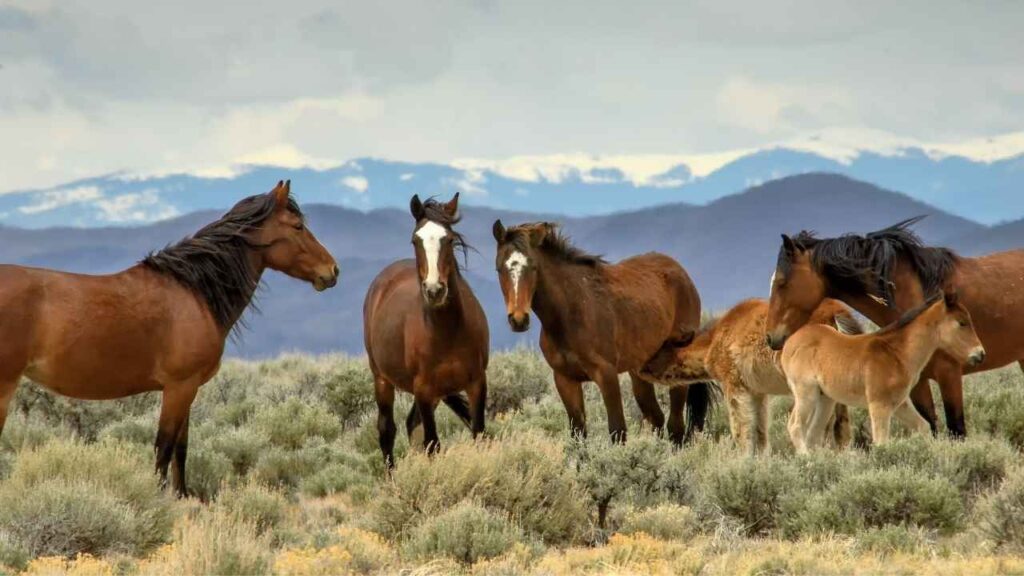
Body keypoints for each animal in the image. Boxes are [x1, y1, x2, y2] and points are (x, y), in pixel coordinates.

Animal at [0, 181, 339, 497]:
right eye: (297, 226)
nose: (332, 271)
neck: (194, 293)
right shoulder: (179, 387)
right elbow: (164, 447)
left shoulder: (188, 390)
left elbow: (180, 449)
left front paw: (182, 495)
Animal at [364, 193, 489, 469]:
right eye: (415, 240)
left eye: (449, 239)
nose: (434, 290)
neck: (448, 331)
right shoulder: (423, 388)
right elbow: (433, 443)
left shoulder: (477, 382)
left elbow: (479, 435)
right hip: (382, 380)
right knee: (387, 431)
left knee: (411, 424)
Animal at [491, 219, 713, 444]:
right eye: (499, 268)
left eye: (533, 267)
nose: (518, 320)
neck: (570, 313)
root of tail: (681, 273)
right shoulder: (565, 379)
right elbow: (578, 433)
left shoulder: (606, 375)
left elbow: (617, 430)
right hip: (640, 371)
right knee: (656, 418)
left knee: (675, 427)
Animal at [640, 298, 860, 455]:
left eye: (660, 347)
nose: (642, 367)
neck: (715, 339)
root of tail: (836, 313)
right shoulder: (758, 392)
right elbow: (760, 432)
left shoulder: (735, 387)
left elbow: (741, 430)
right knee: (842, 426)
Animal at [782, 291, 984, 452]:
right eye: (962, 323)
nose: (980, 354)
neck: (896, 353)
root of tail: (789, 344)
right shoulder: (879, 405)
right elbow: (881, 443)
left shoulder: (900, 403)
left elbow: (923, 427)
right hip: (806, 393)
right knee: (795, 425)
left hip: (826, 399)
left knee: (812, 433)